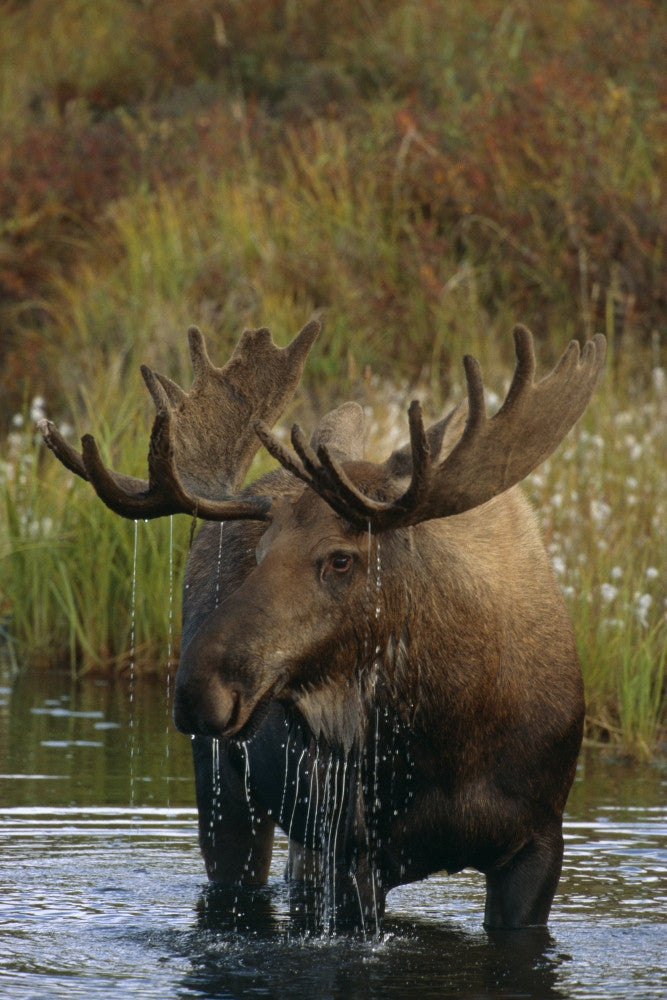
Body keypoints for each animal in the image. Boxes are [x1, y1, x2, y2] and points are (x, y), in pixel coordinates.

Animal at [40, 319, 605, 934]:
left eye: (340, 559)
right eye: (260, 552)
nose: (197, 687)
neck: (452, 737)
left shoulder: (538, 841)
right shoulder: (355, 851)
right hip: (230, 790)